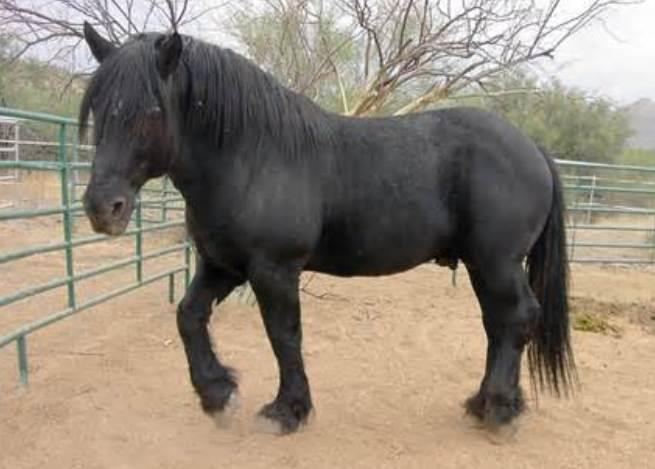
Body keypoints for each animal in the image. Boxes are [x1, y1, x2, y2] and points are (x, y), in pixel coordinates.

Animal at [79, 22, 576, 437]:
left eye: (150, 112)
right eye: (97, 107)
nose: (103, 207)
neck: (251, 155)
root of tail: (532, 147)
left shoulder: (274, 270)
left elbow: (284, 336)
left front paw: (286, 411)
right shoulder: (223, 266)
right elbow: (188, 316)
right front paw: (218, 395)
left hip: (497, 263)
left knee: (516, 319)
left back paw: (500, 411)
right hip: (481, 265)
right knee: (498, 324)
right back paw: (483, 404)